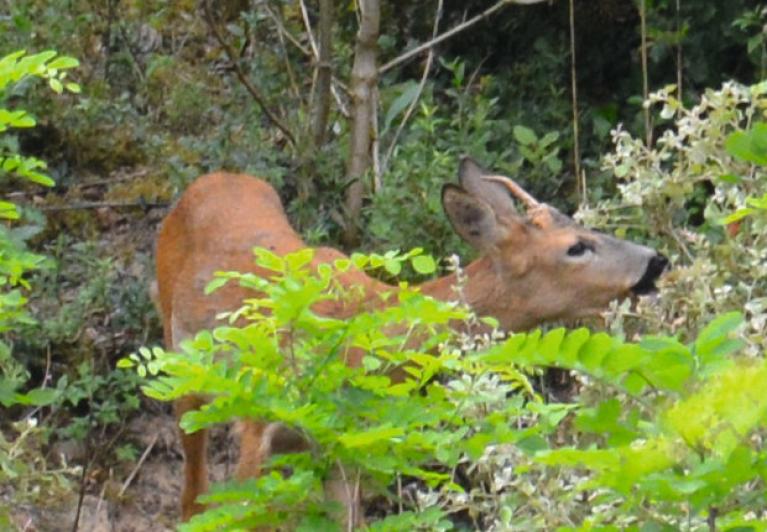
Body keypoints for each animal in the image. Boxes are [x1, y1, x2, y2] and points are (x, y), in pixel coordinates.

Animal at [154, 157, 664, 524]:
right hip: (180, 368)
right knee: (192, 495)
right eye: (576, 247)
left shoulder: (346, 444)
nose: (655, 260)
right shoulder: (257, 422)